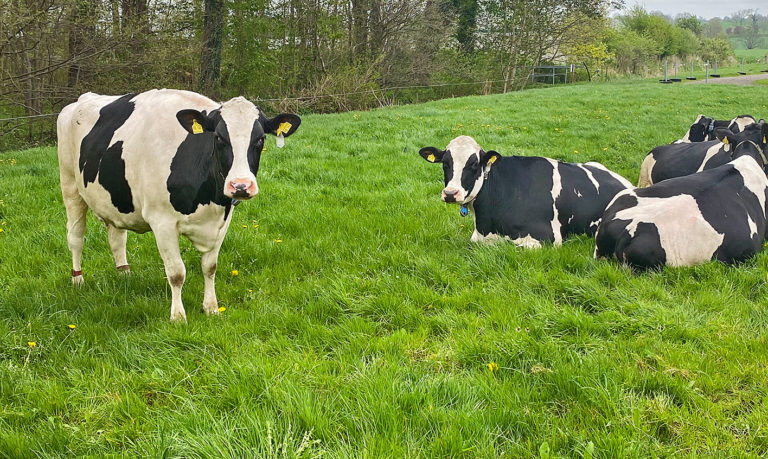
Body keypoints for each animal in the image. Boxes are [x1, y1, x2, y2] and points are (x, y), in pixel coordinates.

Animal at [57, 89, 302, 320]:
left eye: (260, 139)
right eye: (219, 138)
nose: (240, 185)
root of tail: (80, 100)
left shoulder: (223, 220)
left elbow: (210, 267)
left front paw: (211, 308)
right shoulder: (162, 222)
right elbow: (176, 273)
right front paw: (178, 316)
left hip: (113, 198)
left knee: (117, 238)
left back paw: (124, 274)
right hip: (70, 184)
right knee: (76, 236)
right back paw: (78, 280)